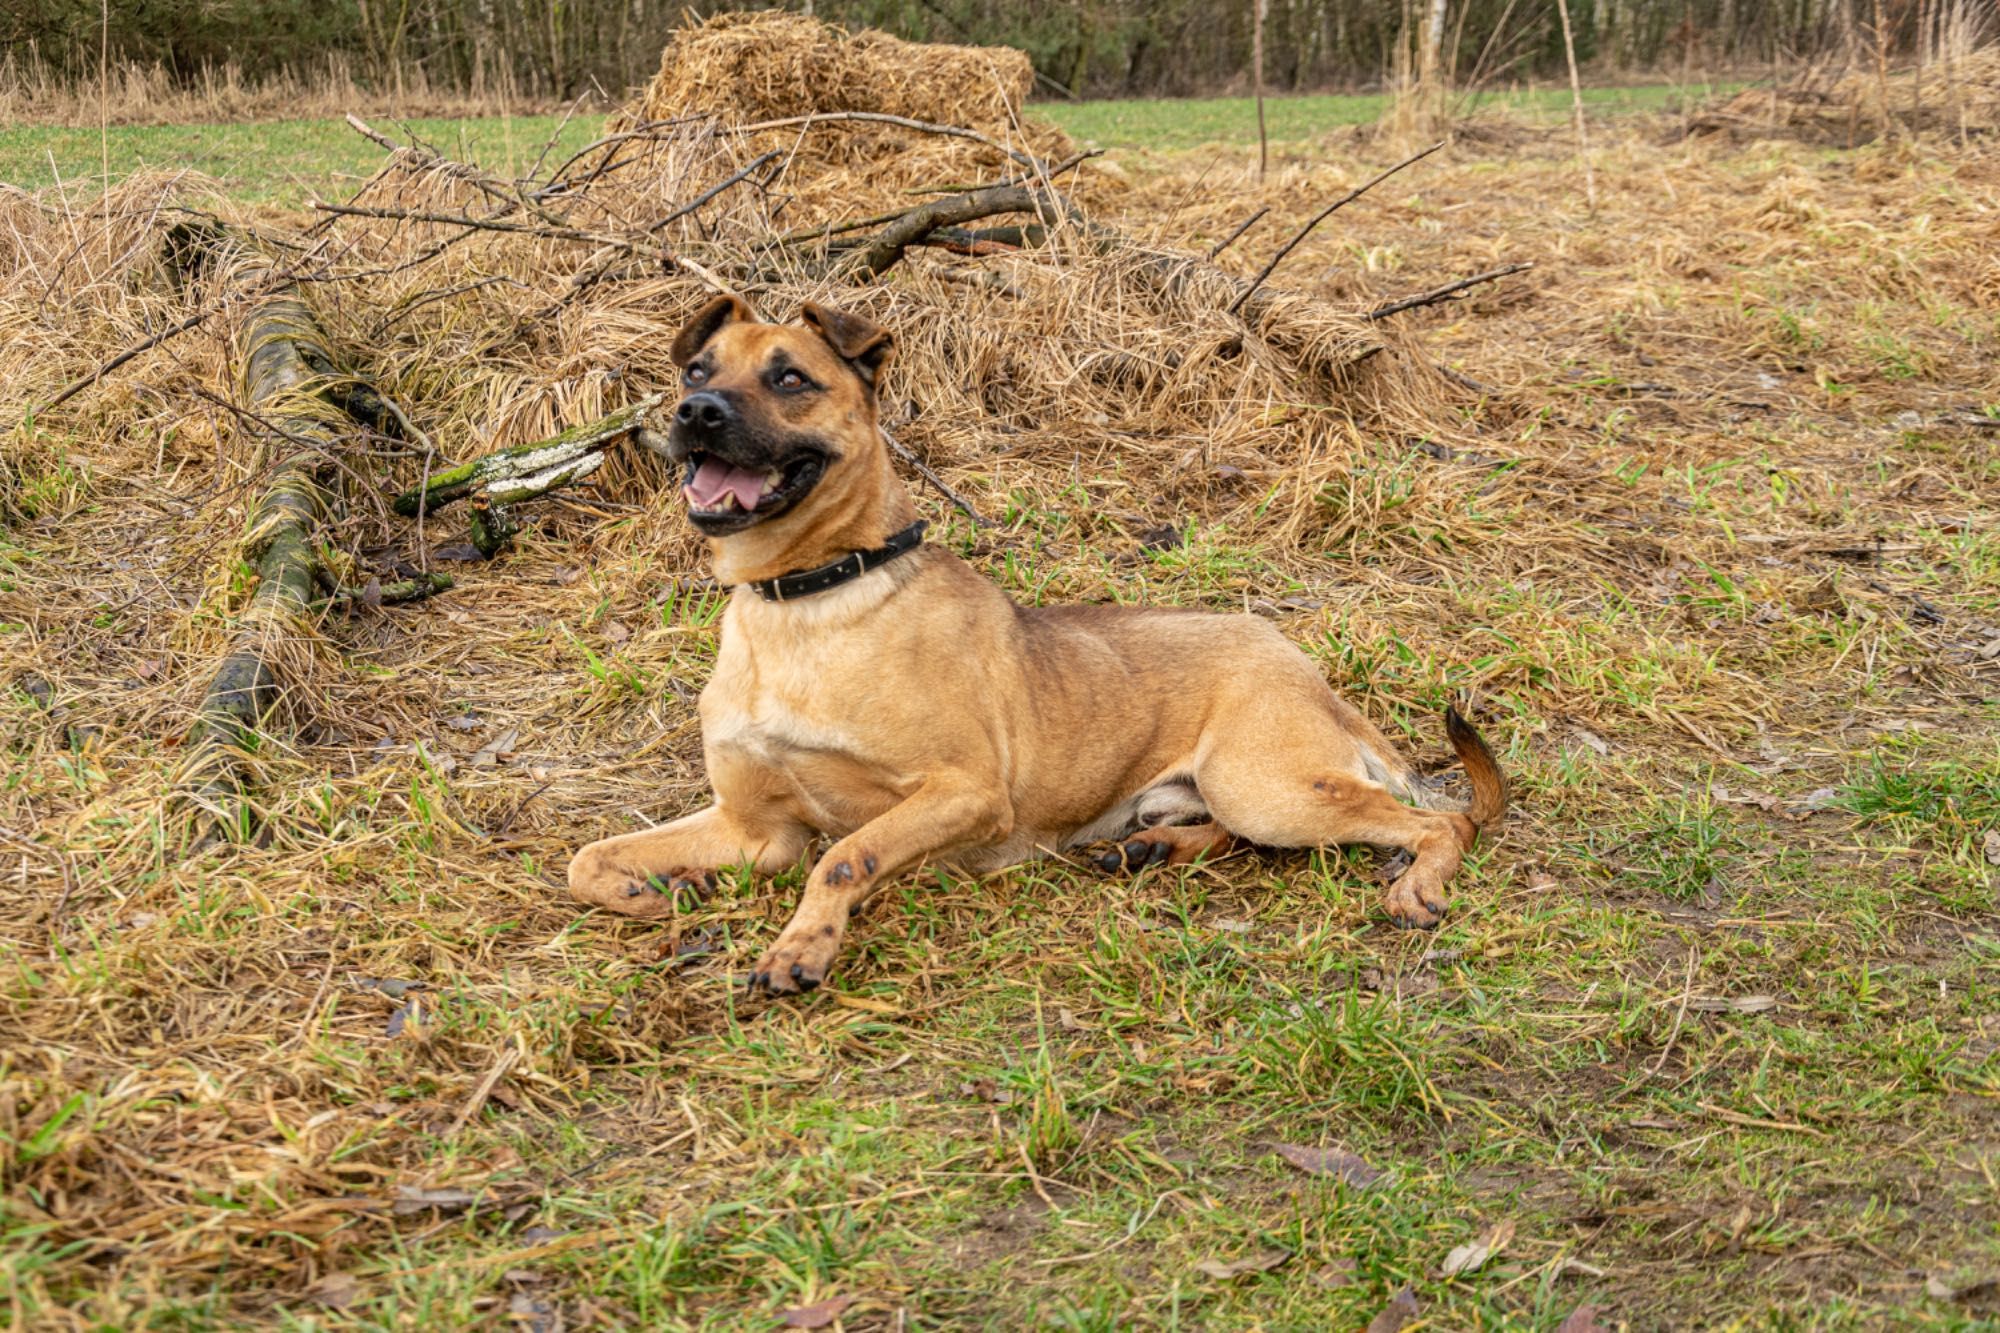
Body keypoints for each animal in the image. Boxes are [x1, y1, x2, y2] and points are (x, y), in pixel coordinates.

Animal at [564, 296, 1504, 992]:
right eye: (695, 370)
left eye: (789, 377)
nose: (693, 411)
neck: (805, 602)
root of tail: (1305, 669)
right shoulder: (753, 829)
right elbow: (587, 859)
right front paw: (660, 895)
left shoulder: (965, 793)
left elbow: (843, 855)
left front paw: (803, 944)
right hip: (1230, 795)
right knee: (1250, 836)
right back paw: (1150, 848)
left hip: (1265, 784)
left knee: (1441, 820)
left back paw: (1418, 881)